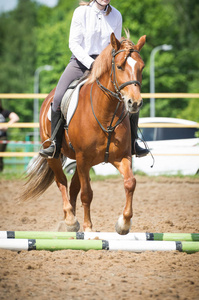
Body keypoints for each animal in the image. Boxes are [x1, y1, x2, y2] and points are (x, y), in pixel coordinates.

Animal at [22, 32, 145, 234]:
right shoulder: (83, 159)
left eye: (141, 67)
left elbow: (130, 183)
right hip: (58, 157)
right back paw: (70, 220)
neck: (106, 115)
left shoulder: (121, 157)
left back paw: (70, 221)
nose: (134, 103)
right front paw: (88, 227)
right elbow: (87, 193)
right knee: (62, 182)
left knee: (73, 188)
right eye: (119, 66)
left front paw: (124, 223)